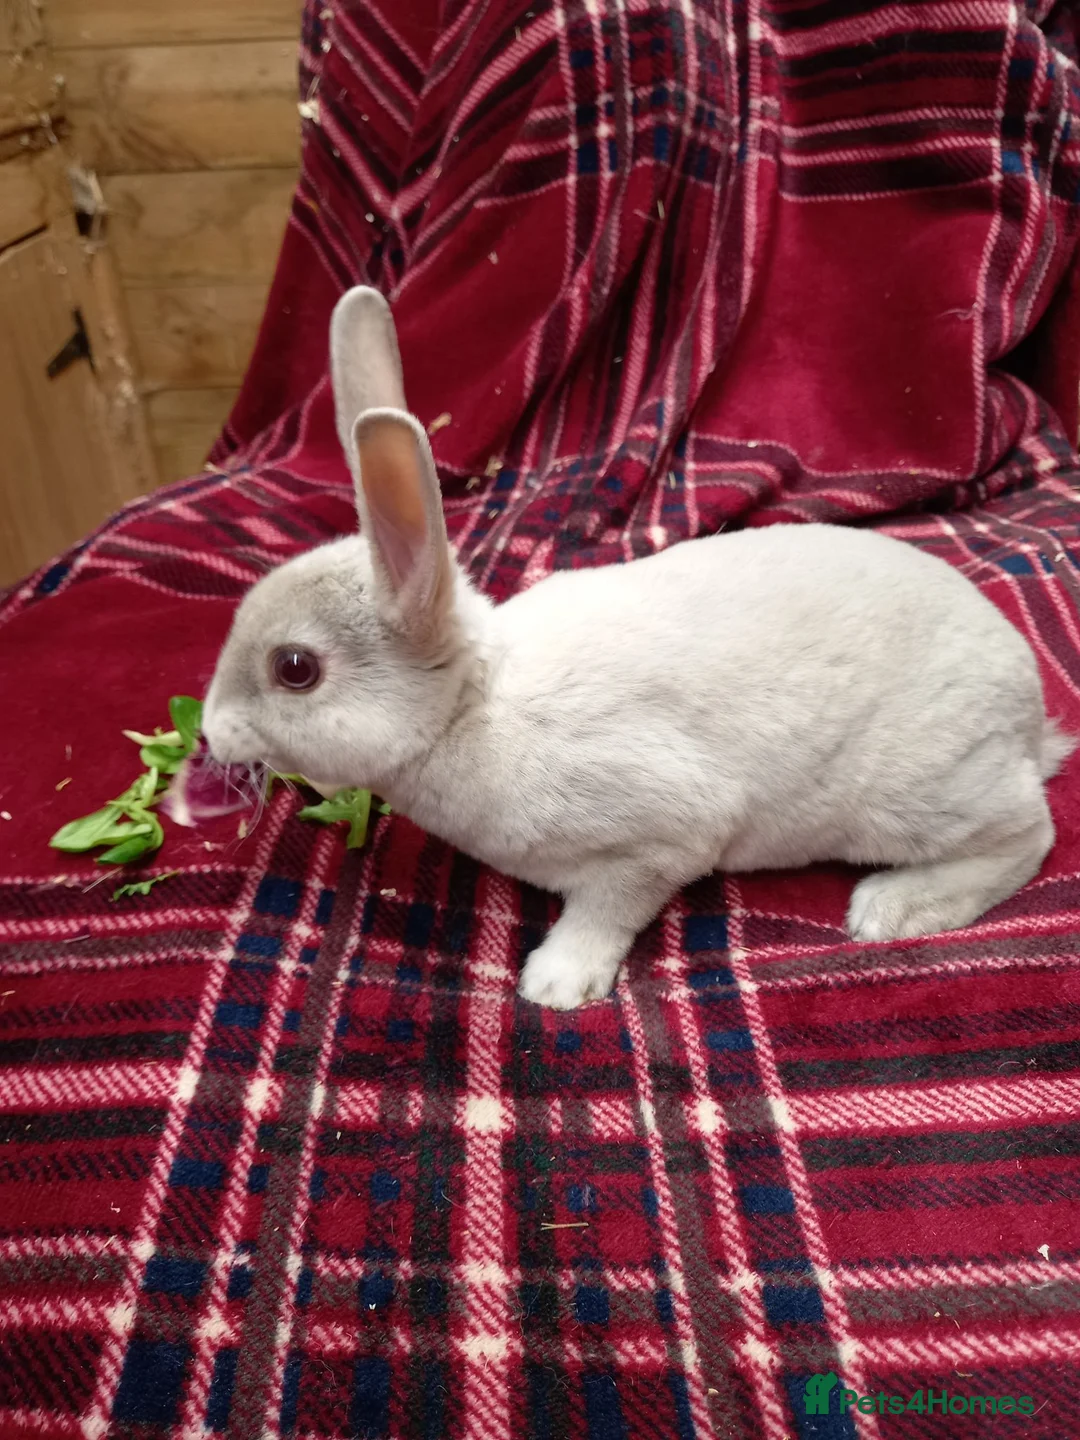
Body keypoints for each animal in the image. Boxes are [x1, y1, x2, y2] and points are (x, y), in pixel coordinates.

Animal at [202, 285, 1073, 1010]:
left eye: (295, 669)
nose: (209, 731)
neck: (472, 707)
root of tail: (1029, 710)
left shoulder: (659, 837)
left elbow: (609, 909)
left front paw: (557, 985)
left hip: (919, 793)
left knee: (1030, 834)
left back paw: (890, 908)